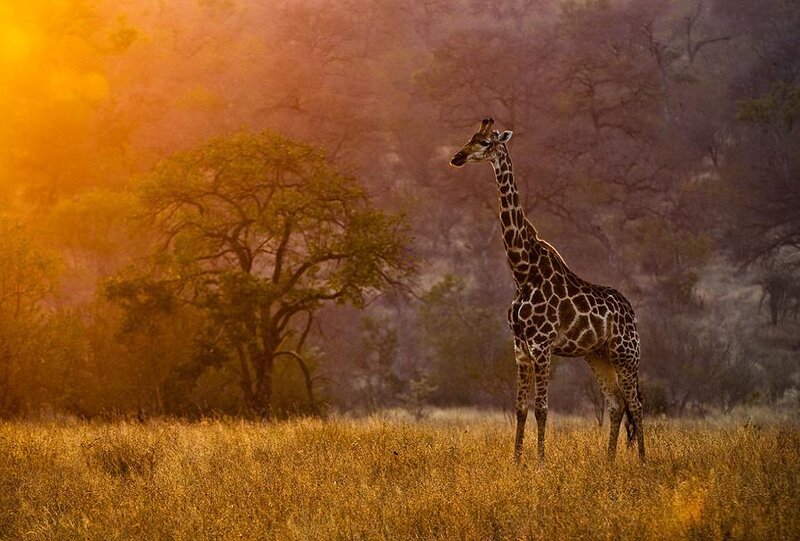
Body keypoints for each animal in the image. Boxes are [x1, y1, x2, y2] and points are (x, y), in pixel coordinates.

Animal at [449, 118, 645, 462]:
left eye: (486, 142)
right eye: (470, 137)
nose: (457, 157)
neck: (522, 271)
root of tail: (631, 312)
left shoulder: (541, 345)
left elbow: (541, 408)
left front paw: (540, 461)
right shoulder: (520, 347)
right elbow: (519, 409)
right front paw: (516, 461)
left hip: (626, 354)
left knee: (637, 406)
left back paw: (644, 462)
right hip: (598, 355)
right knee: (617, 404)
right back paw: (609, 462)